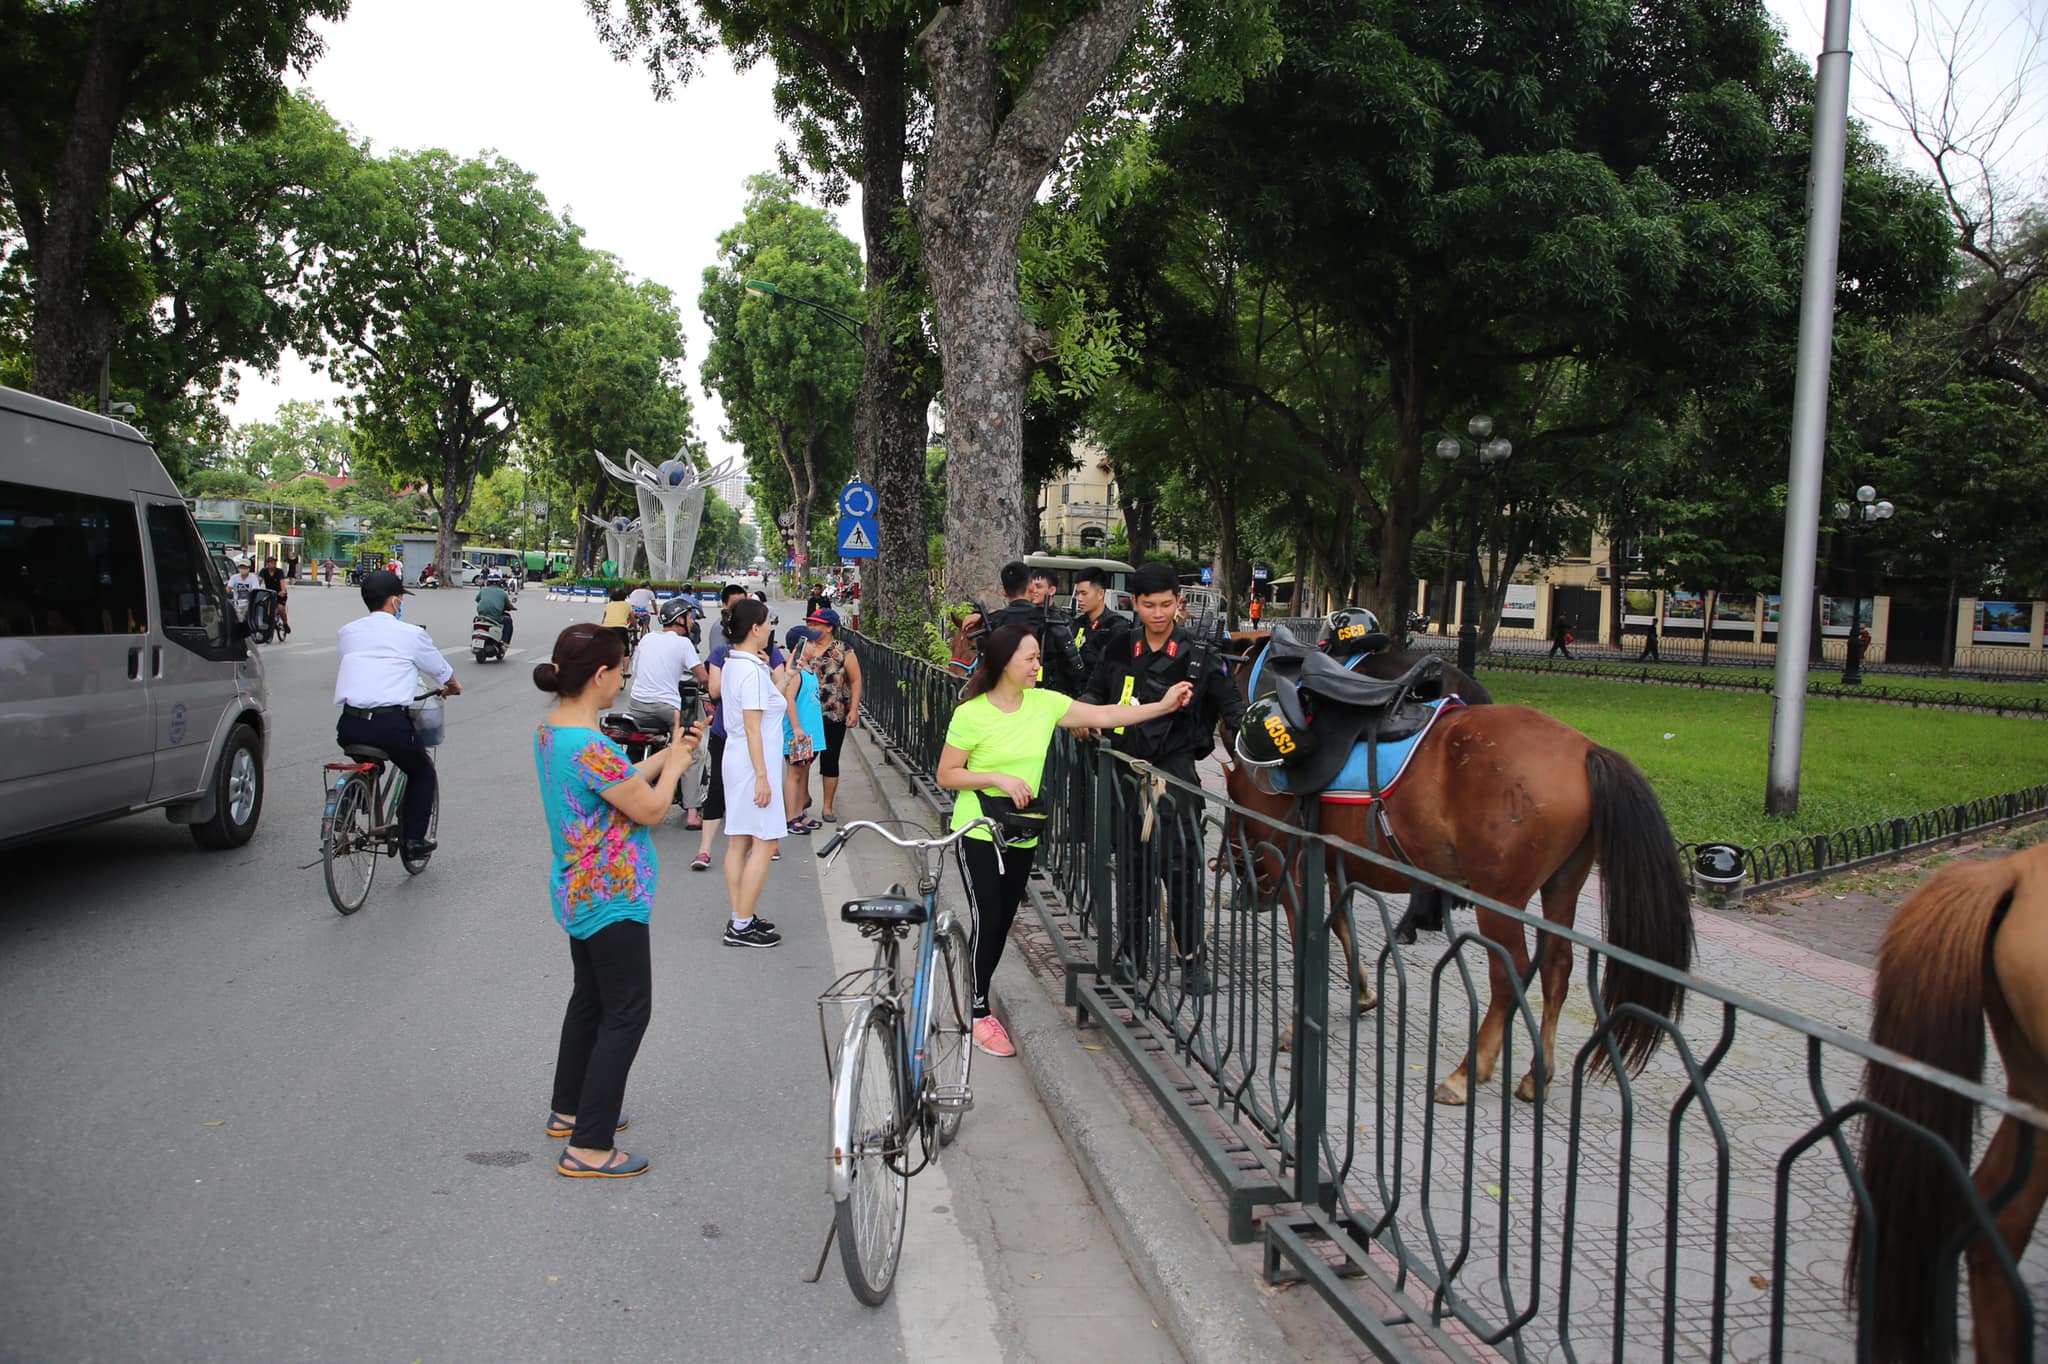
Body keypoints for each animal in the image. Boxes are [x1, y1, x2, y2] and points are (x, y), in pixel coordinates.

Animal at [1220, 630, 1687, 1097]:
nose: (1240, 883)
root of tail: (1586, 749)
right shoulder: (1334, 862)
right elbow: (1339, 925)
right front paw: (1363, 992)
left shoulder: (1288, 857)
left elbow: (1310, 935)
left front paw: (1296, 1025)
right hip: (1563, 882)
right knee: (1557, 967)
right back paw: (1536, 1075)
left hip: (1499, 896)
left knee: (1510, 974)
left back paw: (1467, 1071)